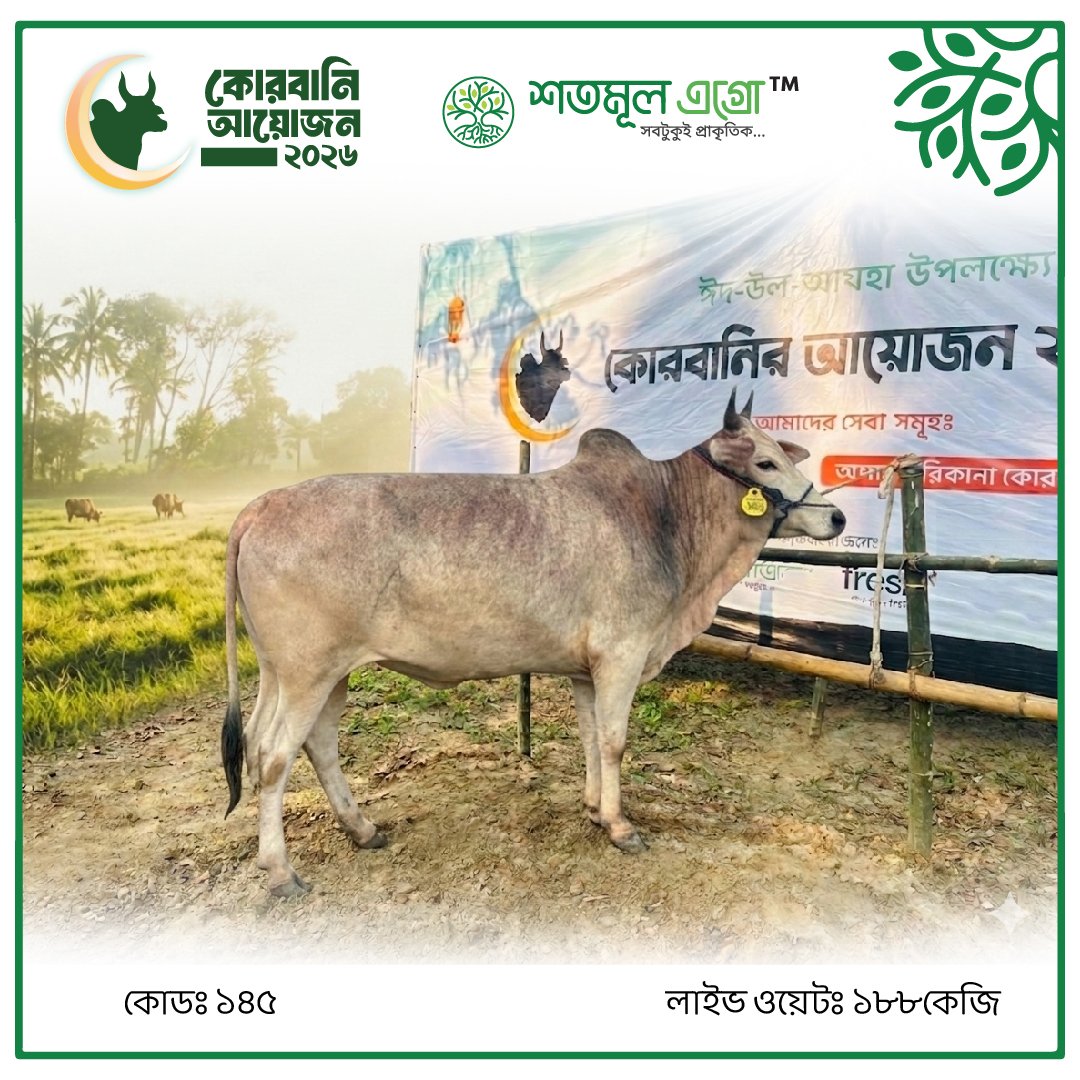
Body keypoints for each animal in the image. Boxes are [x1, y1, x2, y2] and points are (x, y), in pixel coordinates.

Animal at [221, 392, 846, 897]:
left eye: (786, 455)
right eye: (765, 462)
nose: (837, 516)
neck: (664, 518)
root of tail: (261, 505)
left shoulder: (586, 669)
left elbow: (591, 738)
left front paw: (595, 809)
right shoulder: (622, 654)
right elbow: (615, 742)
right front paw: (621, 826)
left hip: (303, 673)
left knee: (301, 744)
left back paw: (363, 829)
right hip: (307, 673)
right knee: (273, 755)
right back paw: (280, 871)